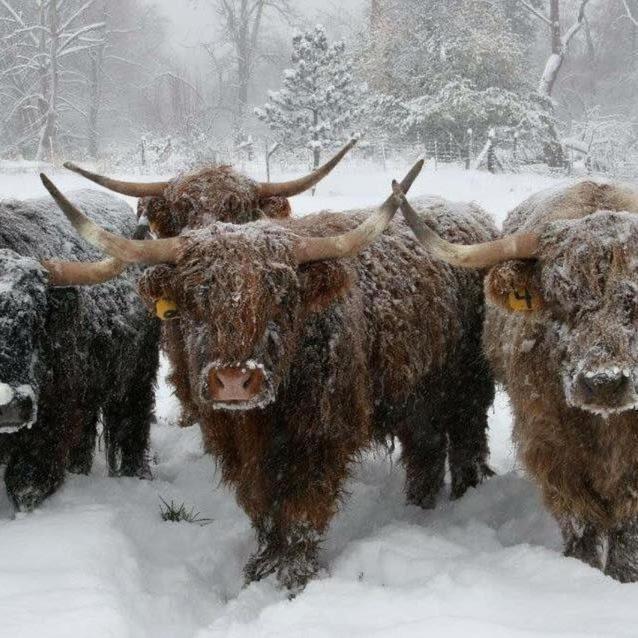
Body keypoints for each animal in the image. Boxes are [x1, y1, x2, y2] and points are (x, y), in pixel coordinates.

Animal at [0, 189, 160, 510]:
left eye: (35, 315)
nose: (8, 406)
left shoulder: (50, 417)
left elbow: (27, 484)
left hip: (138, 373)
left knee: (133, 423)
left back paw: (136, 473)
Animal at [41, 162, 500, 592]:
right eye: (195, 299)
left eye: (279, 297)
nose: (233, 381)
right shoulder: (233, 440)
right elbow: (261, 501)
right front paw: (262, 565)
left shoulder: (321, 435)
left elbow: (303, 505)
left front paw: (294, 574)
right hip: (415, 395)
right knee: (426, 445)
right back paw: (417, 506)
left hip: (467, 387)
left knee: (465, 442)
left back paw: (465, 496)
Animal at [398, 180, 638, 584]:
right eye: (560, 299)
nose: (604, 382)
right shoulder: (551, 447)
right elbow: (581, 522)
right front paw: (582, 569)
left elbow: (627, 528)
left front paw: (624, 577)